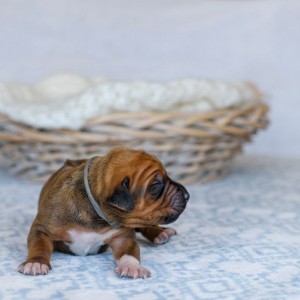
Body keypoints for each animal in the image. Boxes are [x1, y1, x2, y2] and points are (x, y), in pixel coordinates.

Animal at [17, 148, 190, 278]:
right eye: (156, 185)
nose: (187, 195)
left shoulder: (122, 236)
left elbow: (130, 252)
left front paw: (132, 267)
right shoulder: (43, 228)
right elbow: (39, 245)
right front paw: (36, 263)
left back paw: (161, 233)